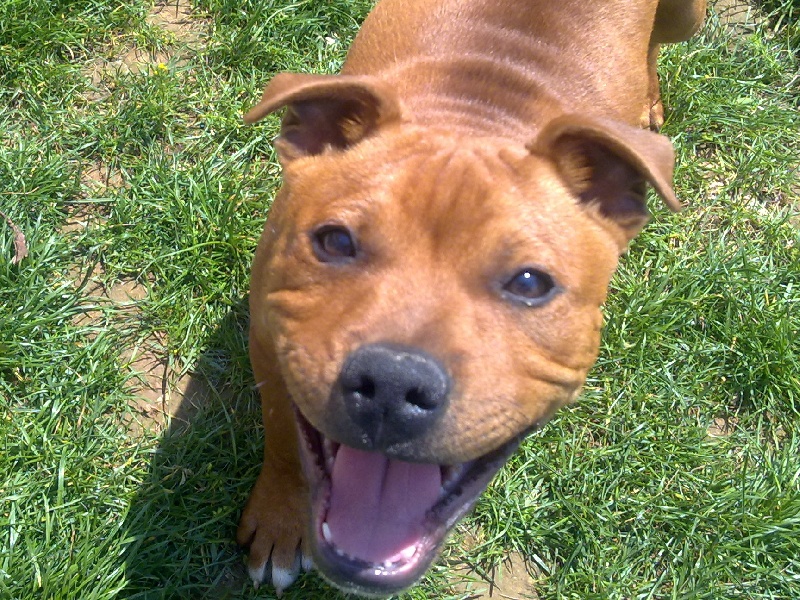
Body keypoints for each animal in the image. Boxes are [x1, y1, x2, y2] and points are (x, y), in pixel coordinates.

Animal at [236, 0, 706, 595]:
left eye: (530, 283)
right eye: (335, 241)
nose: (393, 384)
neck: (476, 117)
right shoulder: (267, 342)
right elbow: (284, 436)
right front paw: (280, 518)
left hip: (688, 19)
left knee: (656, 48)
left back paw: (649, 100)